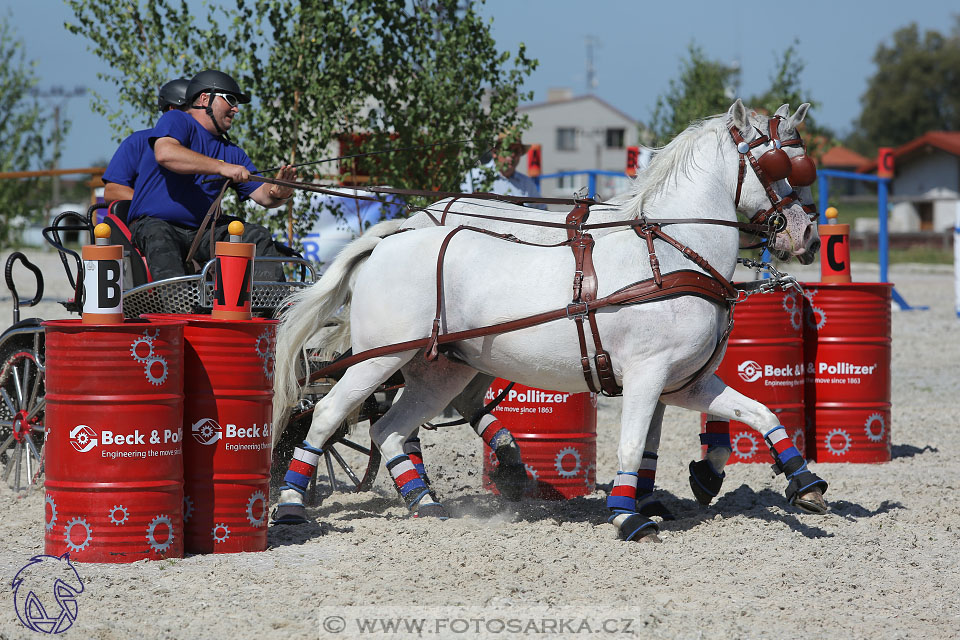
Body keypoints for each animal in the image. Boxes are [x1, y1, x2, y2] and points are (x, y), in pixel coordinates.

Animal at [270, 100, 824, 540]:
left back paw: (426, 503)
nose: (807, 236)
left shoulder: (684, 382)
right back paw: (292, 507)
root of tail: (391, 237)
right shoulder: (647, 376)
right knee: (327, 416)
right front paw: (629, 517)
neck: (671, 254)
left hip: (442, 370)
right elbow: (631, 446)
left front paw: (804, 484)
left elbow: (760, 414)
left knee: (389, 429)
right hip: (379, 359)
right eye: (776, 161)